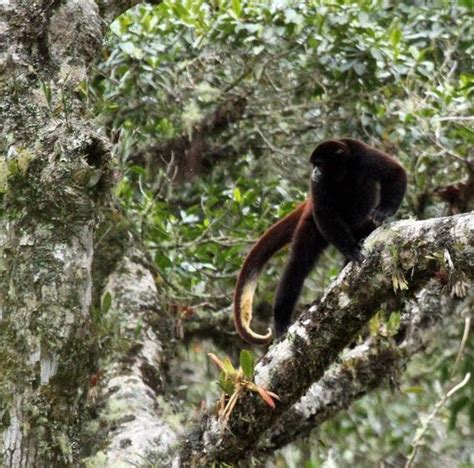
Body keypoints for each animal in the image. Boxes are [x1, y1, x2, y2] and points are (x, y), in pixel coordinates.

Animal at [233, 137, 408, 346]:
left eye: (319, 164)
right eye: (314, 165)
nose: (314, 172)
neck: (344, 170)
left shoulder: (362, 154)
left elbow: (395, 172)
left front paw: (383, 212)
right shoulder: (316, 187)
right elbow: (324, 214)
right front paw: (350, 250)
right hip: (311, 224)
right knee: (298, 264)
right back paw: (281, 322)